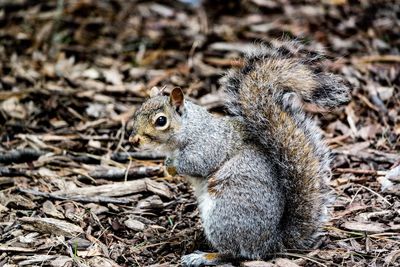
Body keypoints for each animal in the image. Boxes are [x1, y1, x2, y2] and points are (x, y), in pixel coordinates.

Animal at [129, 40, 350, 266]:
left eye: (161, 121)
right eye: (137, 113)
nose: (134, 140)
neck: (188, 128)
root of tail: (272, 242)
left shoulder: (208, 144)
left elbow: (197, 163)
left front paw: (173, 165)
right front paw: (167, 164)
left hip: (225, 212)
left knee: (235, 252)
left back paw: (204, 256)